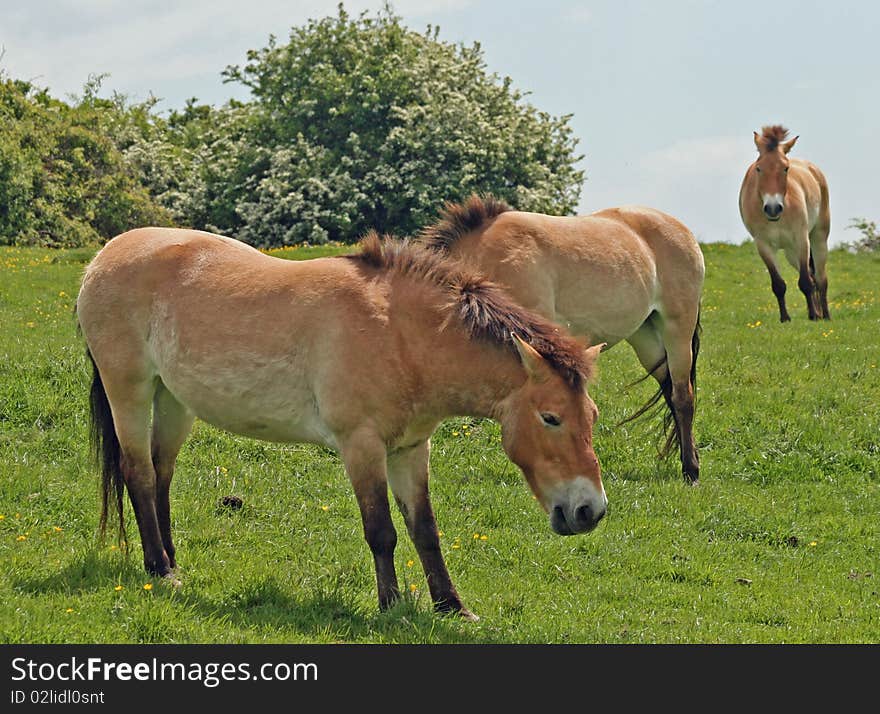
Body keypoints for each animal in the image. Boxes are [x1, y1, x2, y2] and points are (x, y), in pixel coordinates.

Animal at [77, 227, 604, 616]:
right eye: (551, 418)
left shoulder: (410, 449)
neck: (401, 333)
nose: (589, 511)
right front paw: (392, 607)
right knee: (139, 474)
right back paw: (160, 569)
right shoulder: (362, 446)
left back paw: (169, 561)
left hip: (173, 399)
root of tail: (105, 256)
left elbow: (425, 530)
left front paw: (452, 607)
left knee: (162, 473)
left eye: (592, 416)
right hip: (129, 389)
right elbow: (382, 531)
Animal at [416, 197, 704, 482]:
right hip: (645, 337)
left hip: (677, 330)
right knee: (669, 389)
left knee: (682, 397)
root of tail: (683, 231)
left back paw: (691, 470)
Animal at [736, 125, 832, 320]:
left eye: (786, 168)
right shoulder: (763, 245)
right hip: (790, 252)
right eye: (759, 168)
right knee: (813, 278)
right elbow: (779, 285)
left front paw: (813, 315)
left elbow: (805, 282)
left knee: (820, 279)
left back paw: (824, 316)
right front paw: (785, 318)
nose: (773, 208)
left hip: (818, 239)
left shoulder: (801, 239)